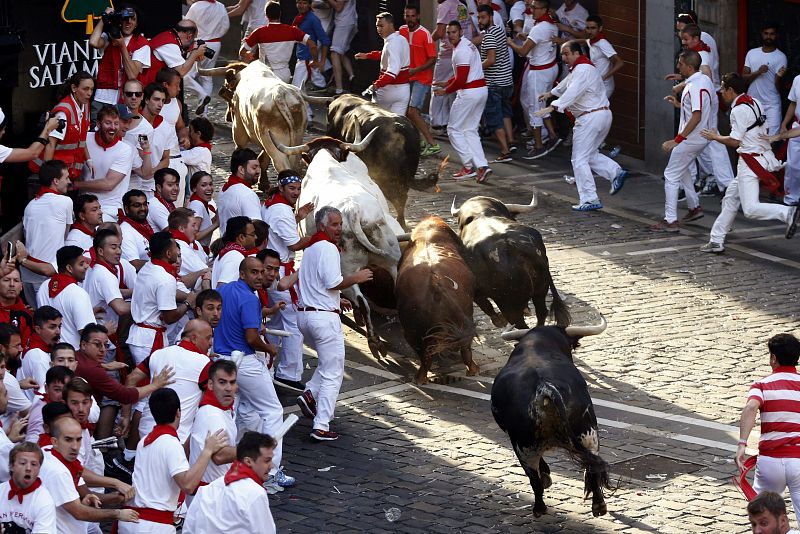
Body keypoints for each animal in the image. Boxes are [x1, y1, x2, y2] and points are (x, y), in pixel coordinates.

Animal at [450, 194, 568, 330]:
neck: (481, 213)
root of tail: (519, 249)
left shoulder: (476, 292)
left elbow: (486, 305)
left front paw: (498, 321)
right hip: (540, 291)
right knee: (541, 313)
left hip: (509, 305)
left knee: (520, 324)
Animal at [494, 318, 612, 520]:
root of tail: (545, 387)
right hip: (589, 435)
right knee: (593, 466)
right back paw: (598, 506)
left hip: (524, 447)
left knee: (534, 479)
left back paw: (539, 508)